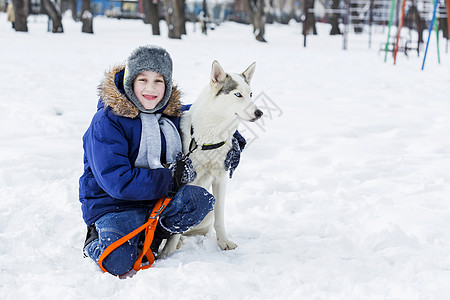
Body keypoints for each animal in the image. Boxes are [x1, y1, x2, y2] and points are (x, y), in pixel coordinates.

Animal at [159, 61, 262, 258]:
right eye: (238, 94)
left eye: (251, 94)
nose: (259, 112)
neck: (210, 137)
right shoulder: (185, 179)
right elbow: (175, 228)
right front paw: (166, 254)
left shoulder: (221, 178)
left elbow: (220, 217)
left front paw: (224, 242)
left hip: (209, 212)